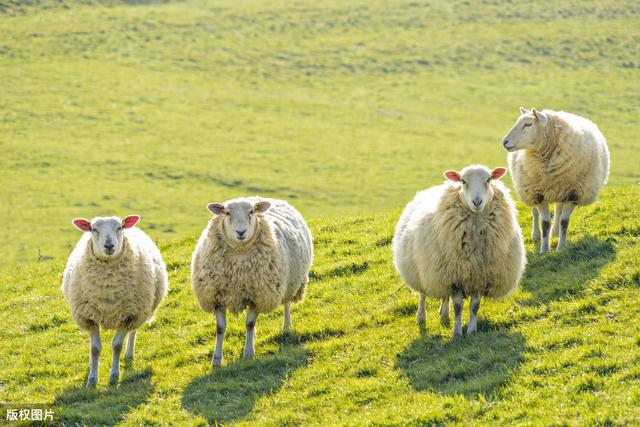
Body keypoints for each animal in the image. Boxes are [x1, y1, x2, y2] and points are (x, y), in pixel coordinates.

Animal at [60, 216, 168, 386]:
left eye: (119, 227)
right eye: (93, 229)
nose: (109, 245)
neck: (108, 286)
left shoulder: (128, 315)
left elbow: (117, 346)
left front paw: (114, 376)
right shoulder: (89, 317)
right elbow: (95, 349)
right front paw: (92, 379)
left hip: (140, 310)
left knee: (133, 332)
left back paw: (129, 354)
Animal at [190, 197, 312, 368]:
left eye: (252, 212)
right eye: (227, 213)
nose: (241, 232)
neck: (239, 255)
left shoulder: (258, 295)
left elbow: (249, 323)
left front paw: (248, 353)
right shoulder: (217, 296)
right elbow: (220, 328)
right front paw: (216, 360)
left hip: (289, 283)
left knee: (286, 303)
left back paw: (286, 326)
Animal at [392, 166, 528, 338]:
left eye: (489, 179)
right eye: (463, 181)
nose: (477, 202)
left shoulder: (478, 276)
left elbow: (474, 306)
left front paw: (472, 331)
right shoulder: (455, 278)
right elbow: (458, 307)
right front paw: (457, 333)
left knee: (445, 296)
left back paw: (444, 315)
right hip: (423, 271)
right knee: (422, 294)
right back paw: (421, 318)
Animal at [500, 108, 608, 254]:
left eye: (528, 124)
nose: (505, 142)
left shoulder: (573, 193)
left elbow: (564, 221)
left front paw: (561, 247)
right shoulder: (537, 193)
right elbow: (545, 223)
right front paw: (544, 249)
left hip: (560, 190)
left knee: (558, 209)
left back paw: (555, 233)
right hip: (528, 188)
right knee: (535, 212)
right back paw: (536, 235)